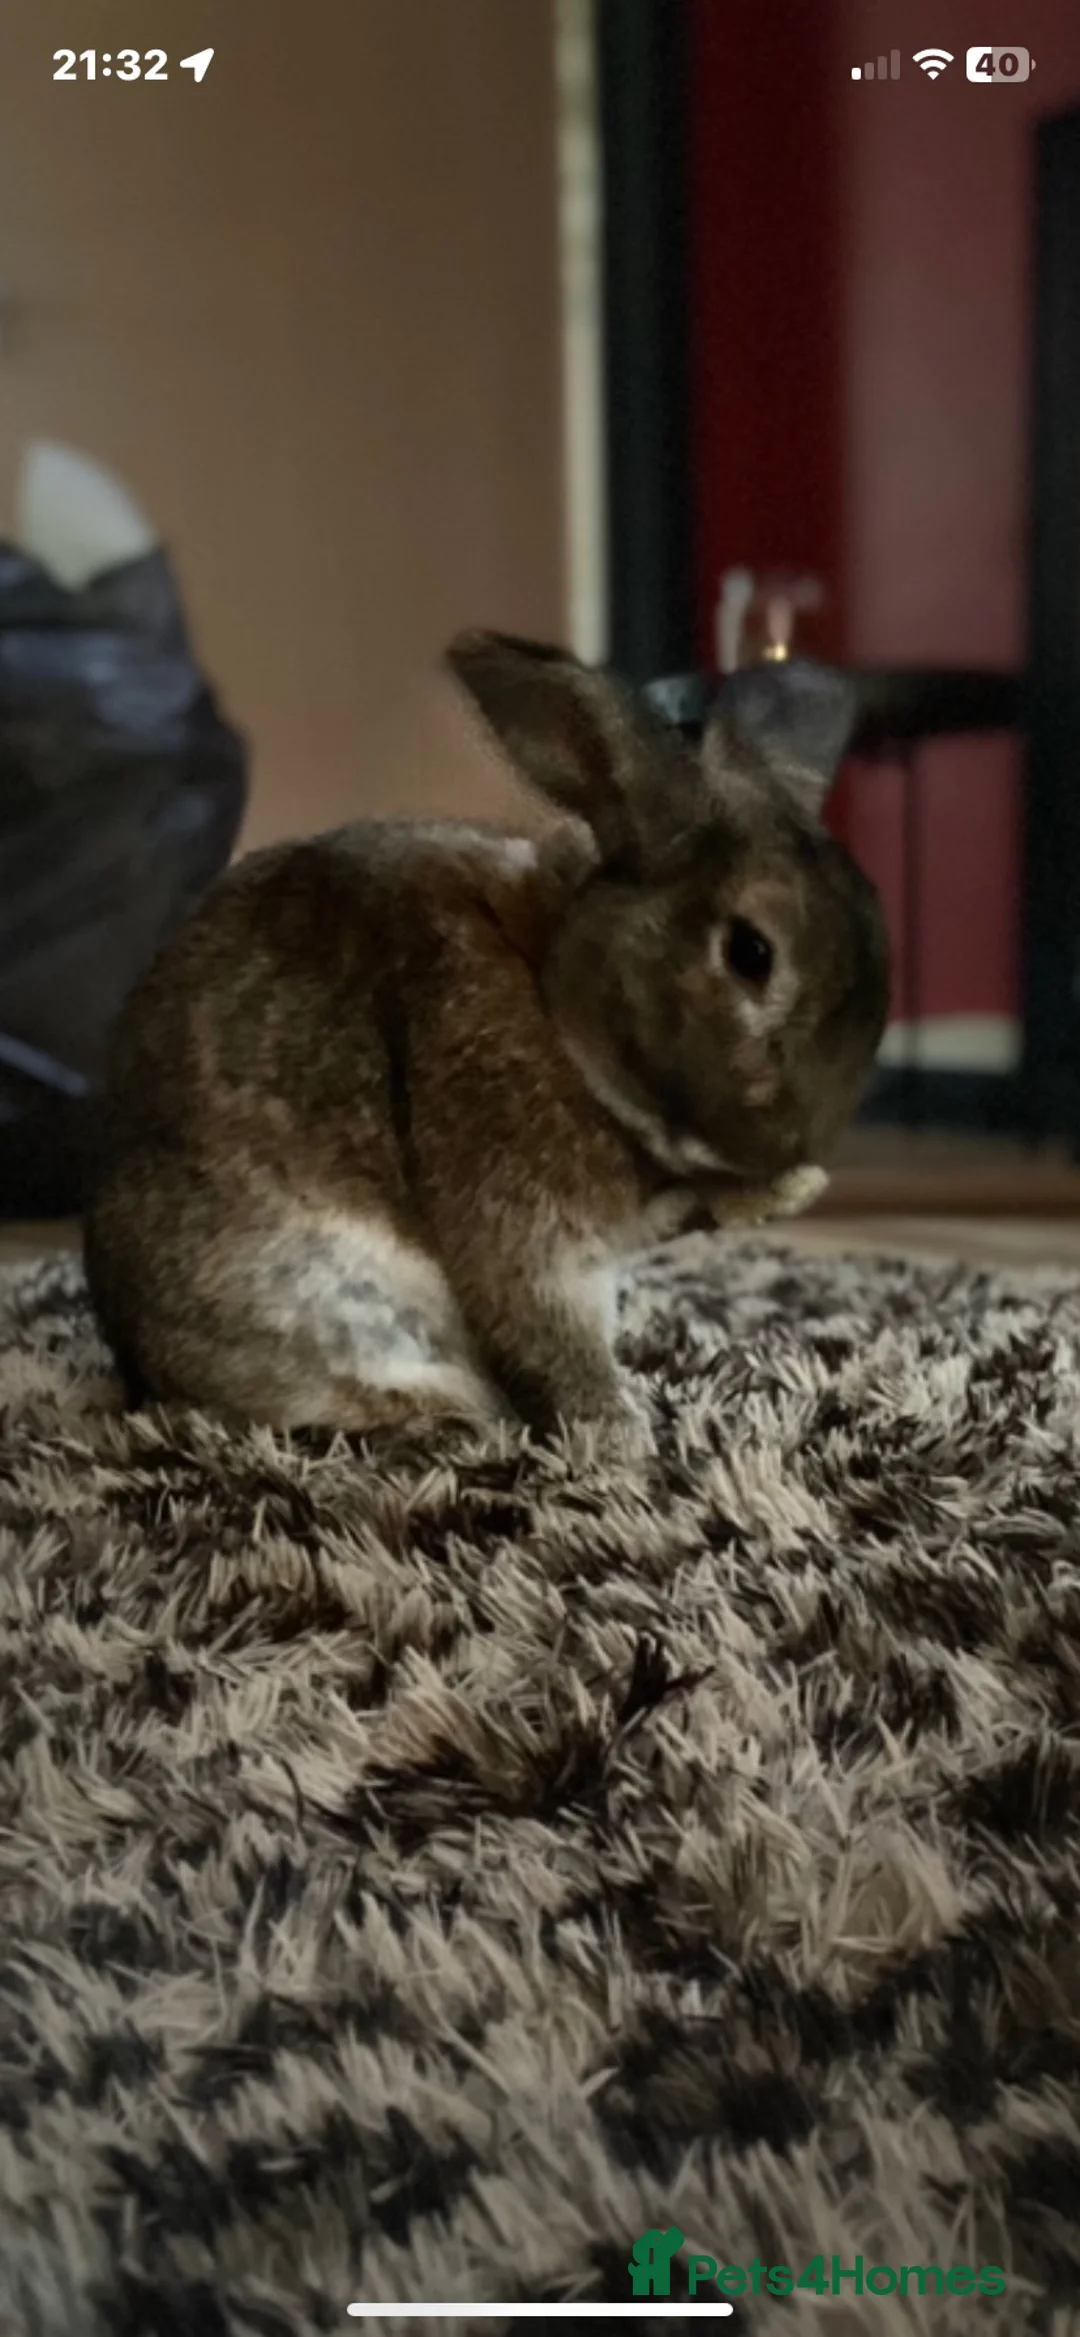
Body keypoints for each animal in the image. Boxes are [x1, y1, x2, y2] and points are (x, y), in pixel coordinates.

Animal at [83, 633, 890, 1444]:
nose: (798, 1146)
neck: (553, 994)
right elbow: (547, 1328)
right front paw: (620, 1435)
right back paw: (461, 1409)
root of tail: (136, 1357)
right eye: (751, 953)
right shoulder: (527, 1232)